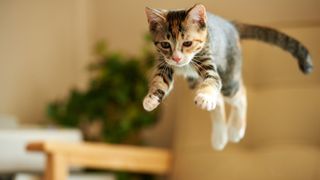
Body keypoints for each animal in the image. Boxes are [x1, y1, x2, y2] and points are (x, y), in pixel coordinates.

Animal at [142, 4, 312, 150]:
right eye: (165, 44)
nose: (177, 58)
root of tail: (230, 24)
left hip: (229, 73)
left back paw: (234, 130)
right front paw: (152, 98)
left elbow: (213, 79)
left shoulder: (207, 56)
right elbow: (160, 79)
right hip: (194, 81)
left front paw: (205, 96)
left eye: (187, 43)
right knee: (218, 101)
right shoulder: (164, 62)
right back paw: (219, 135)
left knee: (239, 93)